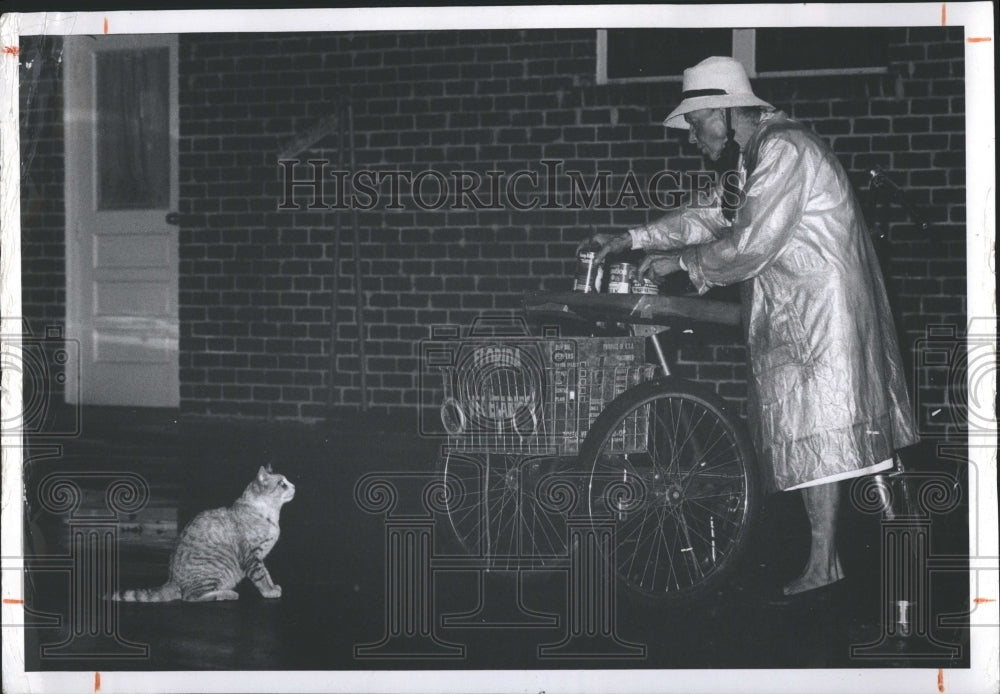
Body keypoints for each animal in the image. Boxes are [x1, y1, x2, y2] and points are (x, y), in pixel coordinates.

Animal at [113, 468, 294, 604]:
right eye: (282, 484)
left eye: (287, 482)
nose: (294, 486)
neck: (269, 514)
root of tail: (172, 581)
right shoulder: (251, 556)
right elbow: (261, 576)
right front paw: (269, 591)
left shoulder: (259, 556)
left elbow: (267, 574)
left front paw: (273, 587)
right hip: (213, 570)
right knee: (190, 597)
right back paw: (226, 593)